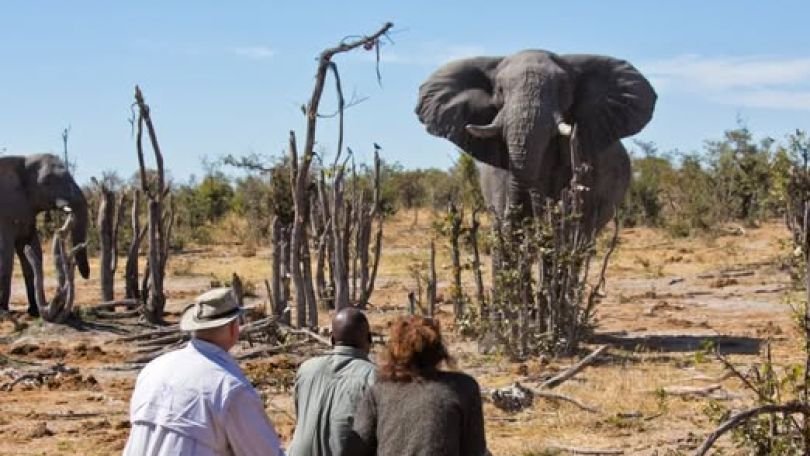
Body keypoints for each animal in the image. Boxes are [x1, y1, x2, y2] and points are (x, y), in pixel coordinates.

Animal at [0, 153, 90, 316]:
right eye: (46, 182)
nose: (86, 275)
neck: (22, 160)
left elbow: (32, 250)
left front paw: (34, 311)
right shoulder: (4, 213)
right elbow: (5, 254)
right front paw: (3, 312)